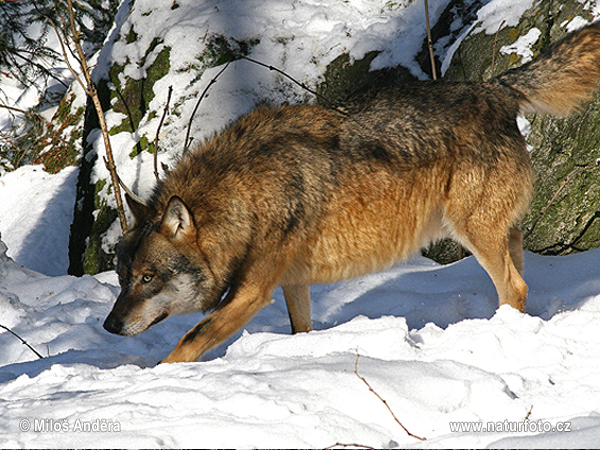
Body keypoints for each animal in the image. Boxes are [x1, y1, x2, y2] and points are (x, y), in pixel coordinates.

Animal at [105, 22, 600, 364]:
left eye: (147, 278)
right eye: (123, 277)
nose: (110, 325)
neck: (243, 197)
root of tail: (495, 87)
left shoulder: (251, 293)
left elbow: (188, 341)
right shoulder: (293, 283)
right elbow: (300, 331)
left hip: (471, 231)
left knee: (515, 285)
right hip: (492, 230)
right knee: (520, 273)